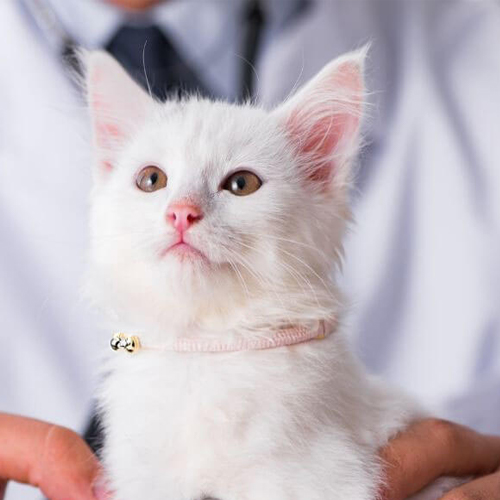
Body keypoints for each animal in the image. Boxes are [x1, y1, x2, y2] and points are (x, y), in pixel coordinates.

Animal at [85, 47, 458, 500]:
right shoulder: (143, 478)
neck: (207, 347)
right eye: (151, 179)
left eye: (241, 184)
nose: (181, 213)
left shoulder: (325, 478)